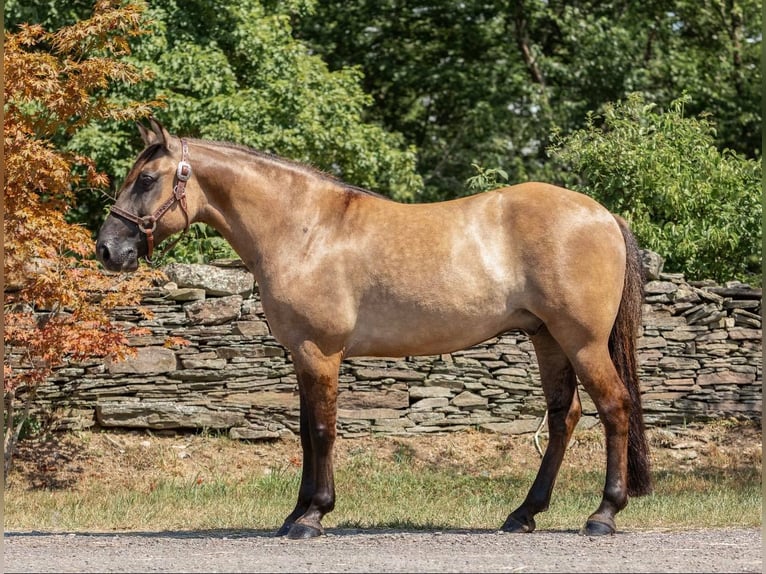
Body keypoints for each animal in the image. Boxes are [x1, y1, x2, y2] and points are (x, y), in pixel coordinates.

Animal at [96, 119, 656, 544]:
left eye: (147, 179)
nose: (108, 249)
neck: (305, 230)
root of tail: (603, 214)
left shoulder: (320, 351)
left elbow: (323, 430)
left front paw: (313, 516)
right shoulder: (301, 354)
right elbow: (307, 432)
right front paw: (294, 515)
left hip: (581, 341)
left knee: (614, 408)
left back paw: (603, 515)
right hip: (547, 338)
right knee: (565, 416)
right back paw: (523, 514)